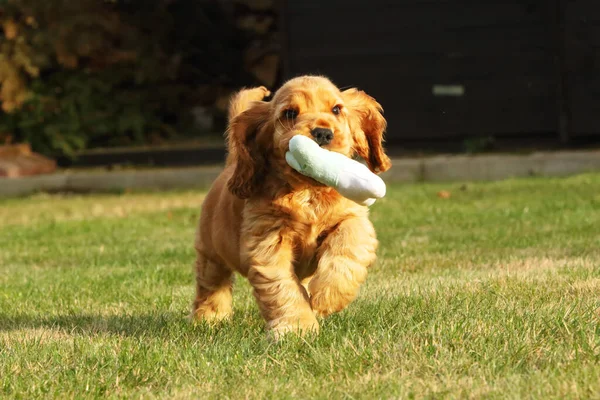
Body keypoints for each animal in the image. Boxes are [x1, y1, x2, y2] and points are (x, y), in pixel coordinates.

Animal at [191, 75, 390, 338]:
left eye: (337, 109)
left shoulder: (353, 218)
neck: (308, 191)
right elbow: (282, 287)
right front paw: (297, 328)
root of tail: (231, 164)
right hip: (211, 251)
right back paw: (208, 318)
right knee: (211, 283)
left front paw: (326, 297)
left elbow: (349, 246)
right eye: (289, 113)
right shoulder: (268, 240)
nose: (323, 133)